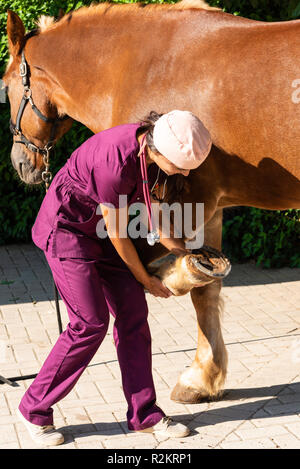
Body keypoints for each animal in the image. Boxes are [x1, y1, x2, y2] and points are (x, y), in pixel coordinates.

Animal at [2, 0, 300, 402]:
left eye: (5, 86)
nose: (20, 163)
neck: (141, 67)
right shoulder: (211, 210)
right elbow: (206, 289)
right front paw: (203, 379)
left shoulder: (185, 205)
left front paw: (197, 378)